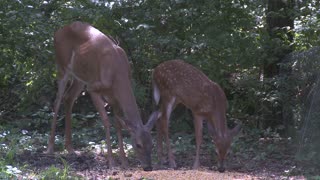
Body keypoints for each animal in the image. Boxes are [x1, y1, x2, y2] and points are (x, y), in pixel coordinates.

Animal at [46, 21, 159, 171]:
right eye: (138, 144)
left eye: (152, 144)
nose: (148, 167)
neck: (118, 75)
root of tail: (58, 31)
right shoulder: (93, 88)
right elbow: (106, 121)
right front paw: (111, 162)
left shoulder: (115, 99)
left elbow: (118, 123)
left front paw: (124, 162)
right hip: (62, 66)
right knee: (57, 100)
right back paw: (50, 148)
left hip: (80, 77)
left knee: (68, 97)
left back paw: (70, 148)